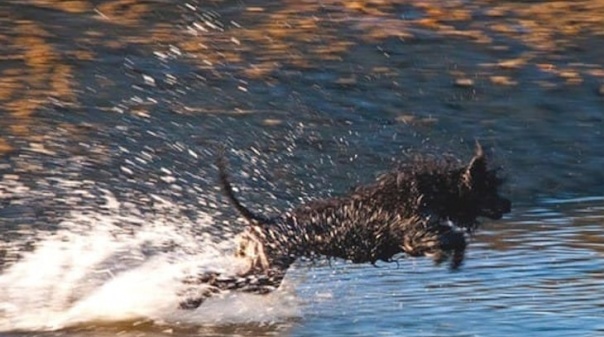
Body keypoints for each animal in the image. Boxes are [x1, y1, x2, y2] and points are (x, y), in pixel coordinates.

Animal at [179, 143, 510, 308]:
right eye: (489, 188)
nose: (508, 205)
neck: (432, 189)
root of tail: (263, 223)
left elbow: (453, 237)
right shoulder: (415, 236)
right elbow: (453, 238)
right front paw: (449, 259)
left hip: (261, 273)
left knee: (216, 277)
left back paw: (188, 290)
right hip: (265, 276)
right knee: (217, 280)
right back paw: (189, 297)